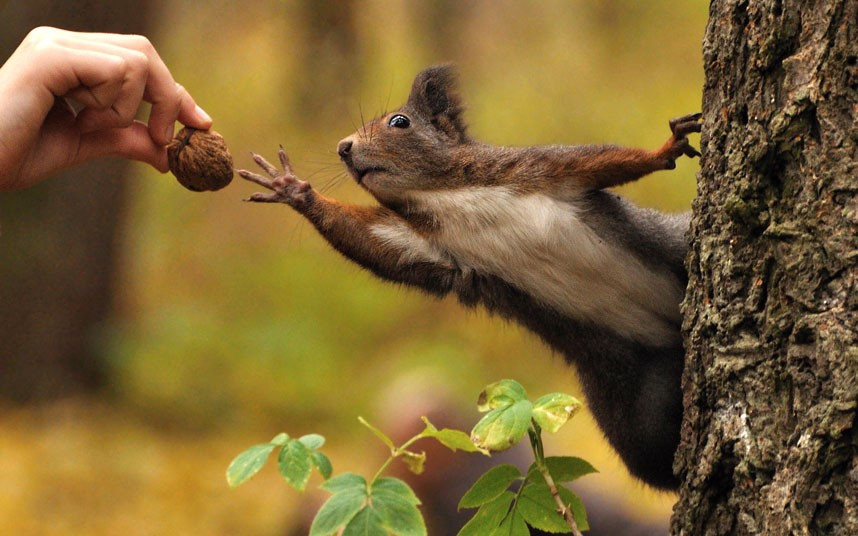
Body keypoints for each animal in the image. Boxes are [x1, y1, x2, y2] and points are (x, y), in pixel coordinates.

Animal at [239, 65, 702, 490]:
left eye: (399, 122)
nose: (343, 148)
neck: (443, 196)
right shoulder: (429, 247)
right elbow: (374, 244)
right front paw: (294, 190)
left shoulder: (539, 167)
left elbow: (605, 161)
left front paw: (665, 149)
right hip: (631, 401)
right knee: (654, 459)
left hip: (672, 248)